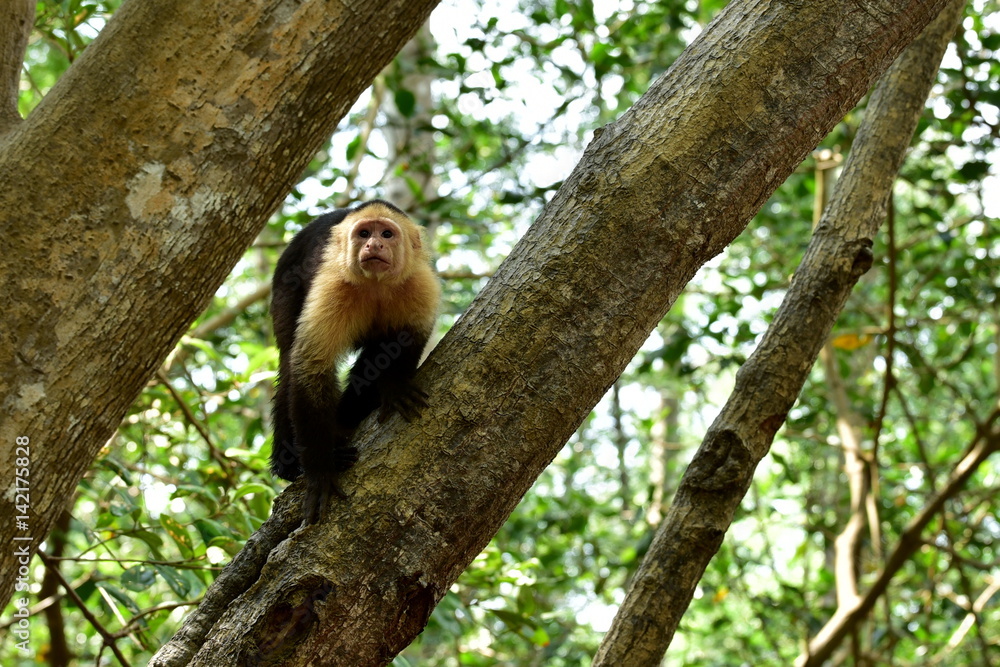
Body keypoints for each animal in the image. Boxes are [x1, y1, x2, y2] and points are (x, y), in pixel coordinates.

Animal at [269, 200, 440, 525]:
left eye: (386, 234)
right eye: (363, 234)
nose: (374, 244)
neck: (376, 285)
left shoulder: (419, 283)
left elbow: (409, 337)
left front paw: (395, 386)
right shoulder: (332, 286)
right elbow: (311, 366)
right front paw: (321, 470)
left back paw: (348, 418)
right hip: (285, 281)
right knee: (288, 362)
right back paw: (294, 459)